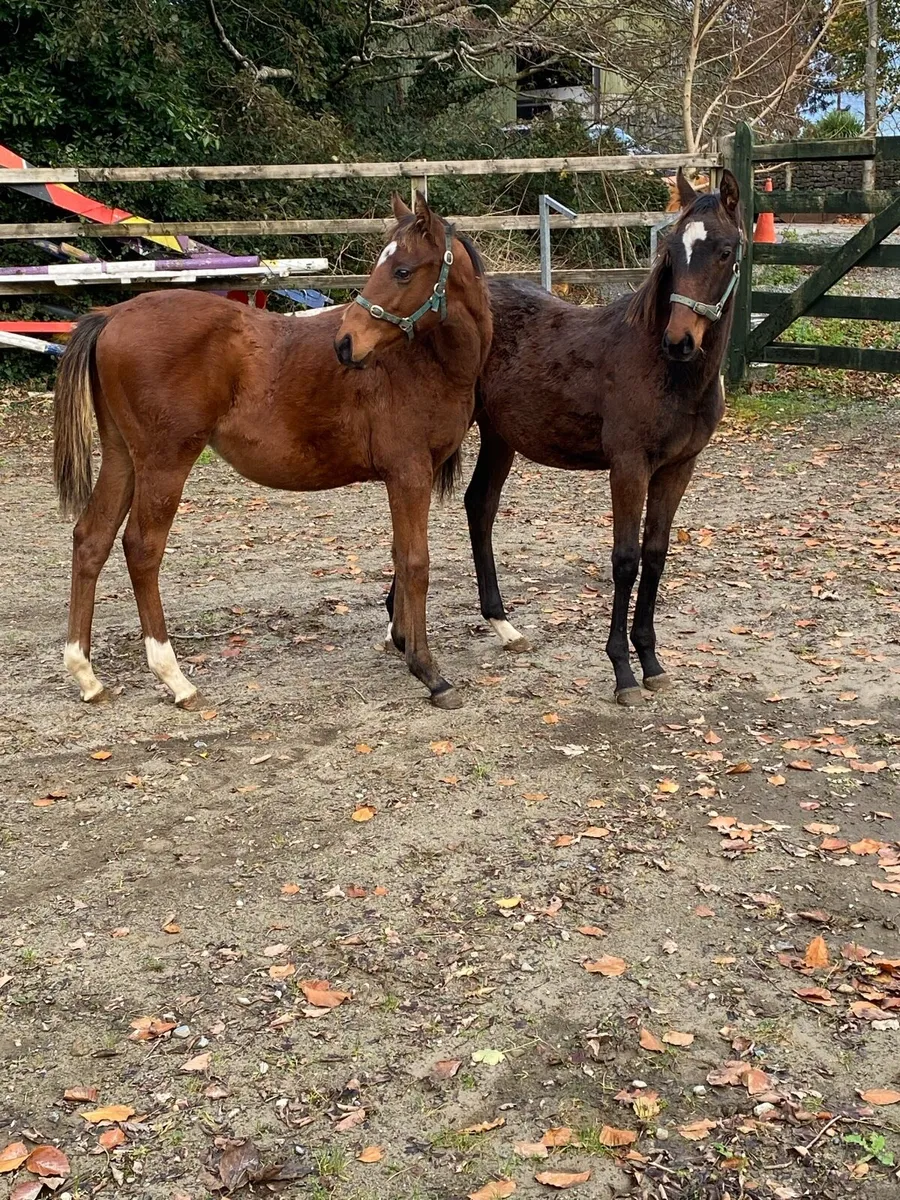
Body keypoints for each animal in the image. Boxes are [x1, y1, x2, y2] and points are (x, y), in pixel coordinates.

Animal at [53, 192, 492, 711]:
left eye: (402, 270)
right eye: (389, 267)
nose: (346, 345)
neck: (423, 361)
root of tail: (112, 316)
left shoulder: (403, 479)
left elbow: (399, 555)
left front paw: (402, 643)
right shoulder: (409, 473)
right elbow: (415, 563)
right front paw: (428, 671)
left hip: (123, 457)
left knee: (91, 539)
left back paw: (86, 674)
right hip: (165, 461)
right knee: (142, 547)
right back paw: (175, 678)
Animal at [387, 168, 744, 704]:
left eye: (724, 250)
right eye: (673, 252)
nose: (679, 340)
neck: (666, 370)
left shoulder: (679, 467)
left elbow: (656, 555)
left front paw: (652, 662)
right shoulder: (629, 466)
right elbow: (625, 560)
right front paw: (623, 672)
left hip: (499, 437)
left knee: (479, 506)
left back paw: (498, 625)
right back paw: (400, 632)